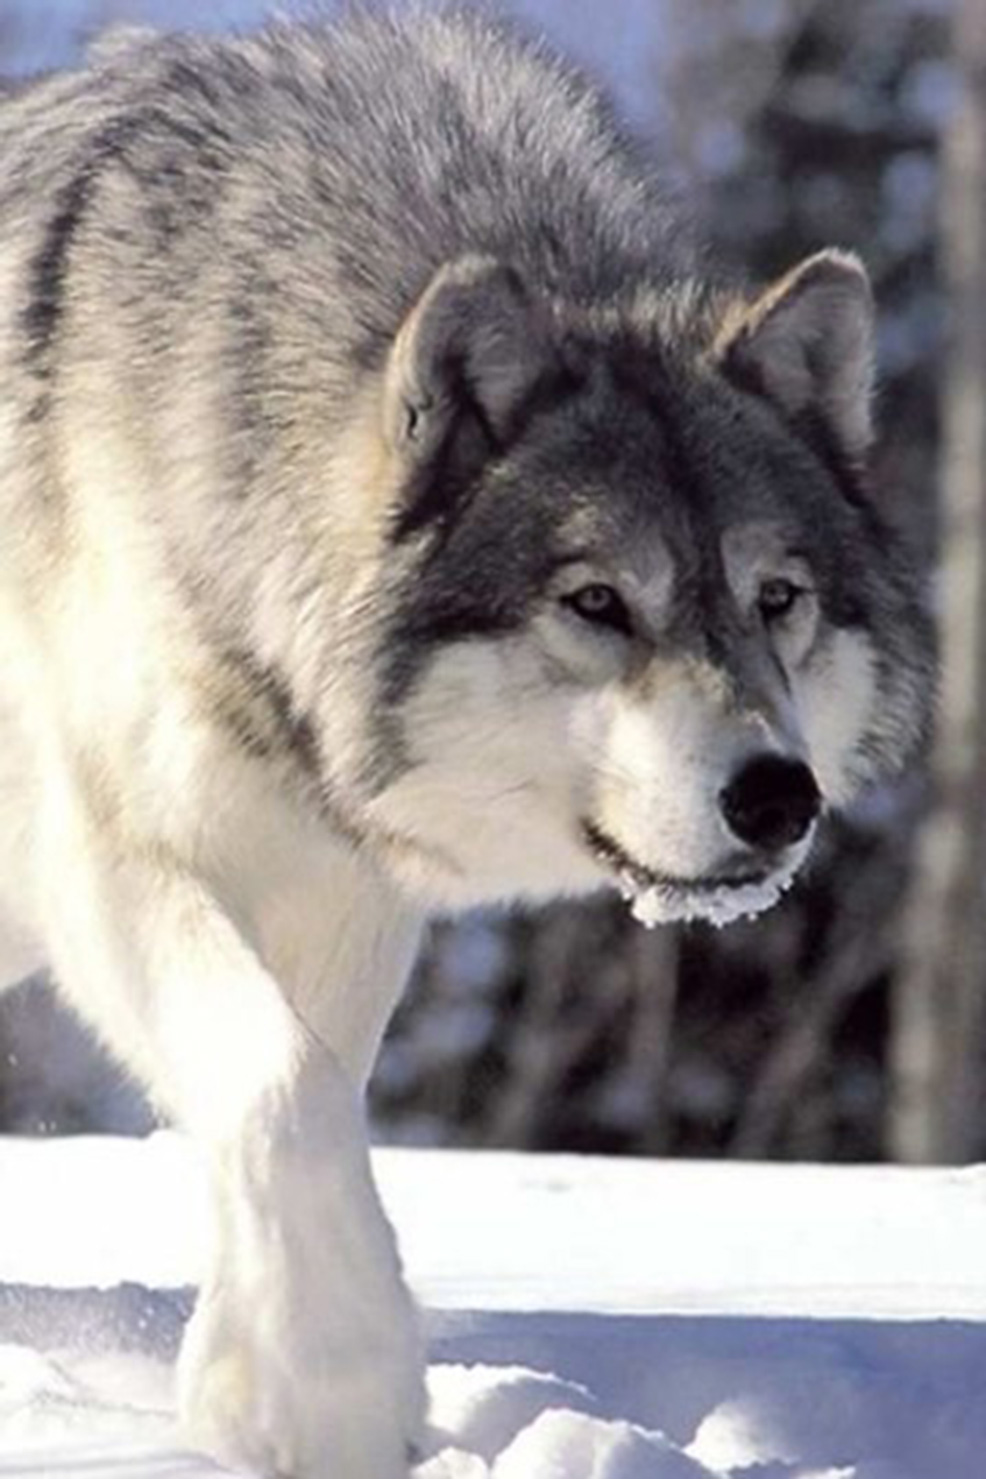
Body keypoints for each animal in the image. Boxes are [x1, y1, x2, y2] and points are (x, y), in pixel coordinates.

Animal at [0, 8, 932, 1477]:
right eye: (596, 603)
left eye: (773, 599)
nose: (777, 799)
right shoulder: (108, 859)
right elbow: (280, 1082)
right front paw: (325, 1389)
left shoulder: (338, 883)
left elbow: (309, 1089)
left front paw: (254, 1373)